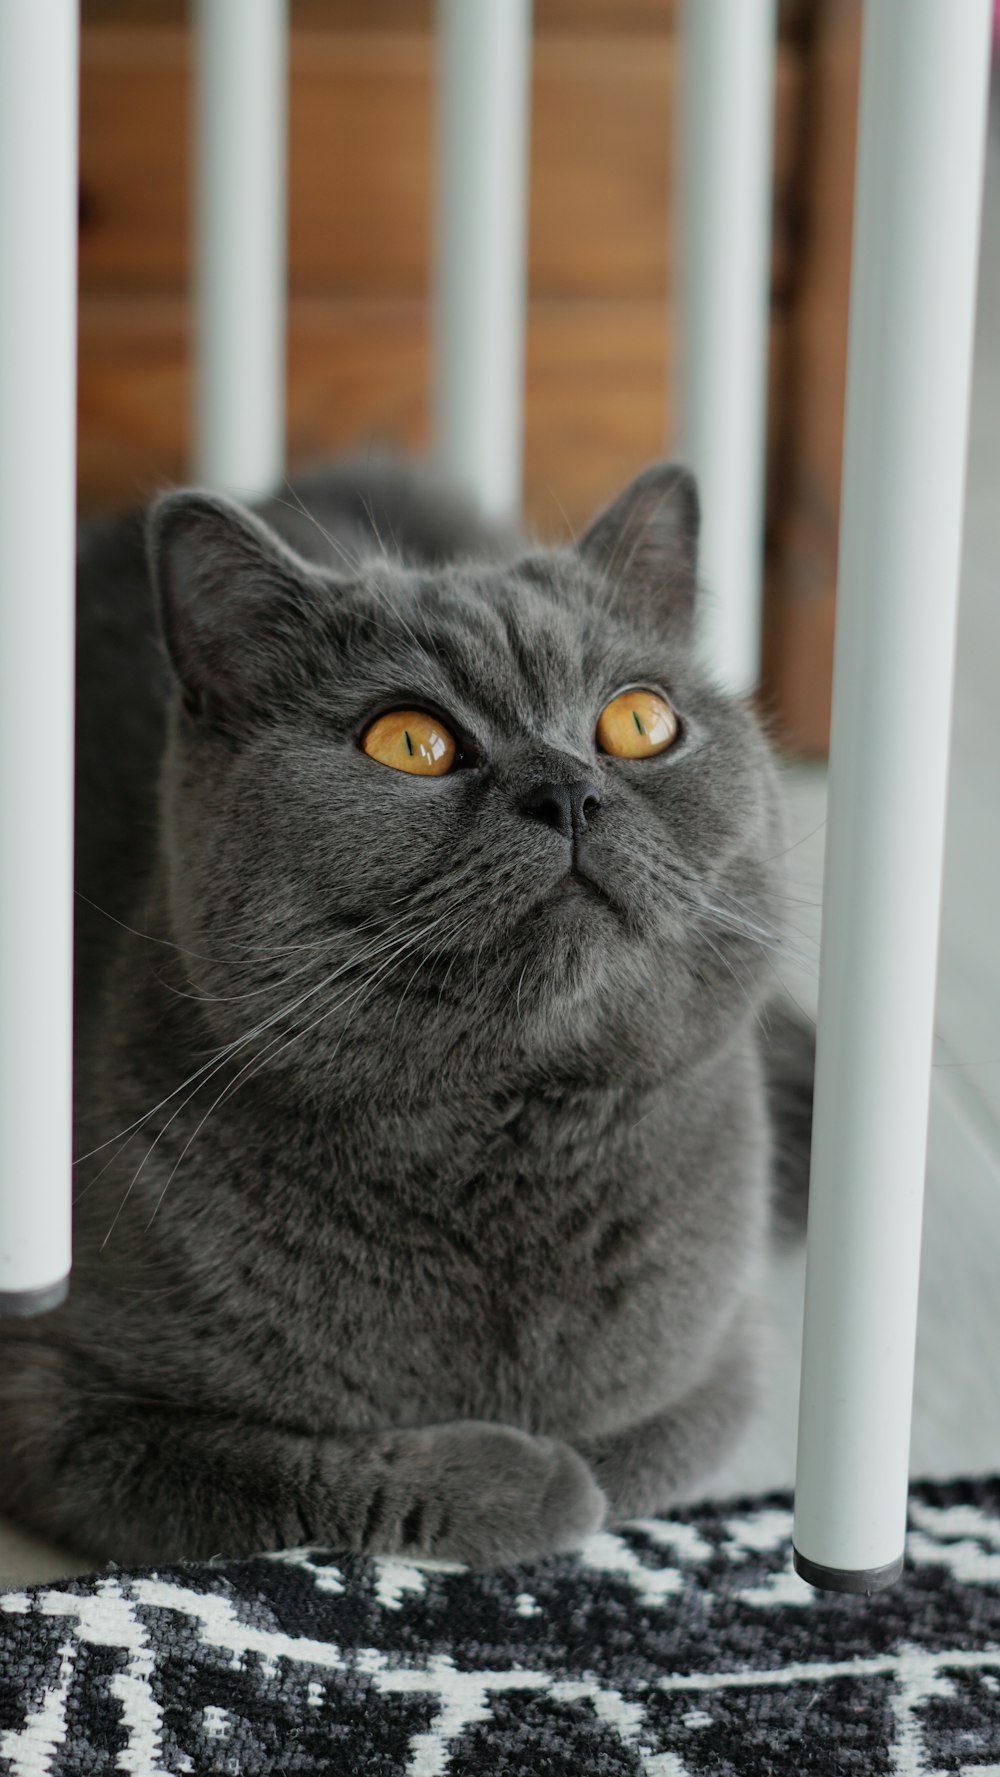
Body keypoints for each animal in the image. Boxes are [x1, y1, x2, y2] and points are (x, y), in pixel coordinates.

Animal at [0, 458, 813, 1570]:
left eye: (640, 723)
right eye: (410, 742)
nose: (567, 789)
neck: (508, 1144)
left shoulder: (717, 1357)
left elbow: (641, 1440)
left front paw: (568, 1462)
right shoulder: (53, 1402)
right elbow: (278, 1472)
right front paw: (526, 1481)